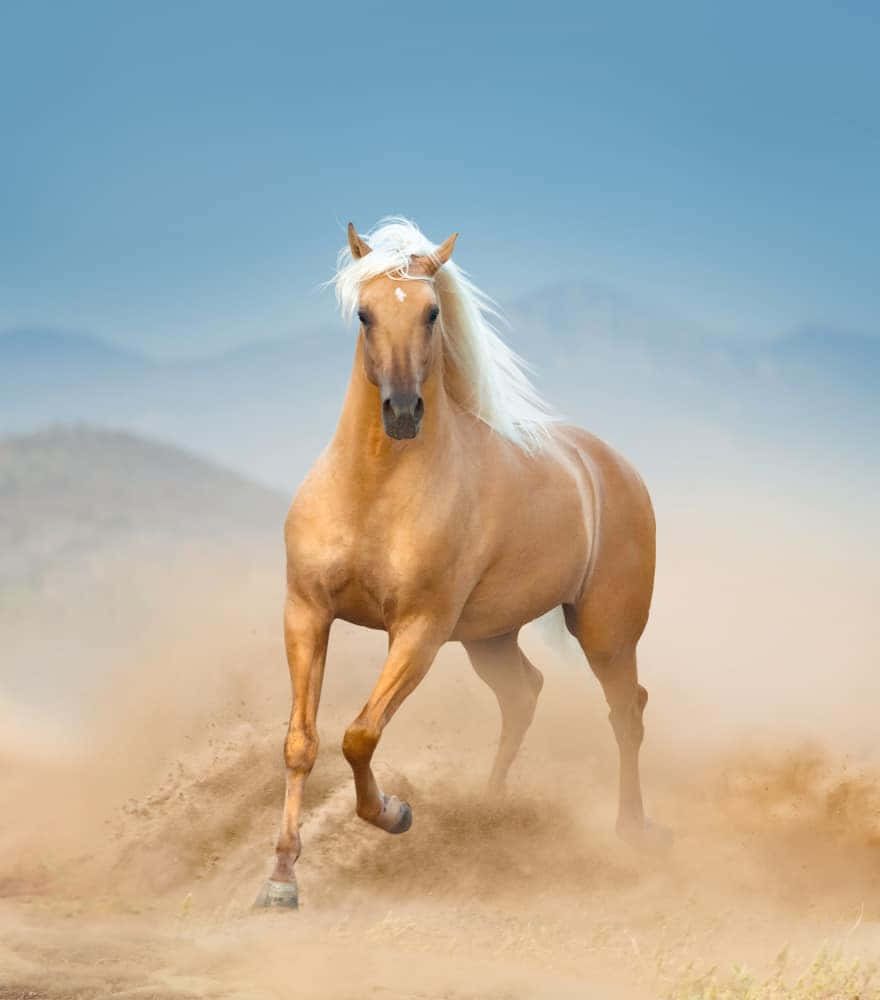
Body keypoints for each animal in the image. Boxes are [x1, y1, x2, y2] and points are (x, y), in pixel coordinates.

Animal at [256, 218, 668, 909]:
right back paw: (488, 811)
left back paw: (631, 831)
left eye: (431, 312)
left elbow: (359, 735)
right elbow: (301, 743)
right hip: (489, 638)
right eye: (364, 313)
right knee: (524, 695)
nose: (401, 412)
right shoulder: (306, 613)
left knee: (626, 711)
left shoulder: (419, 632)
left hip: (605, 632)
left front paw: (395, 813)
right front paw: (282, 877)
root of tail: (612, 467)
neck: (372, 492)